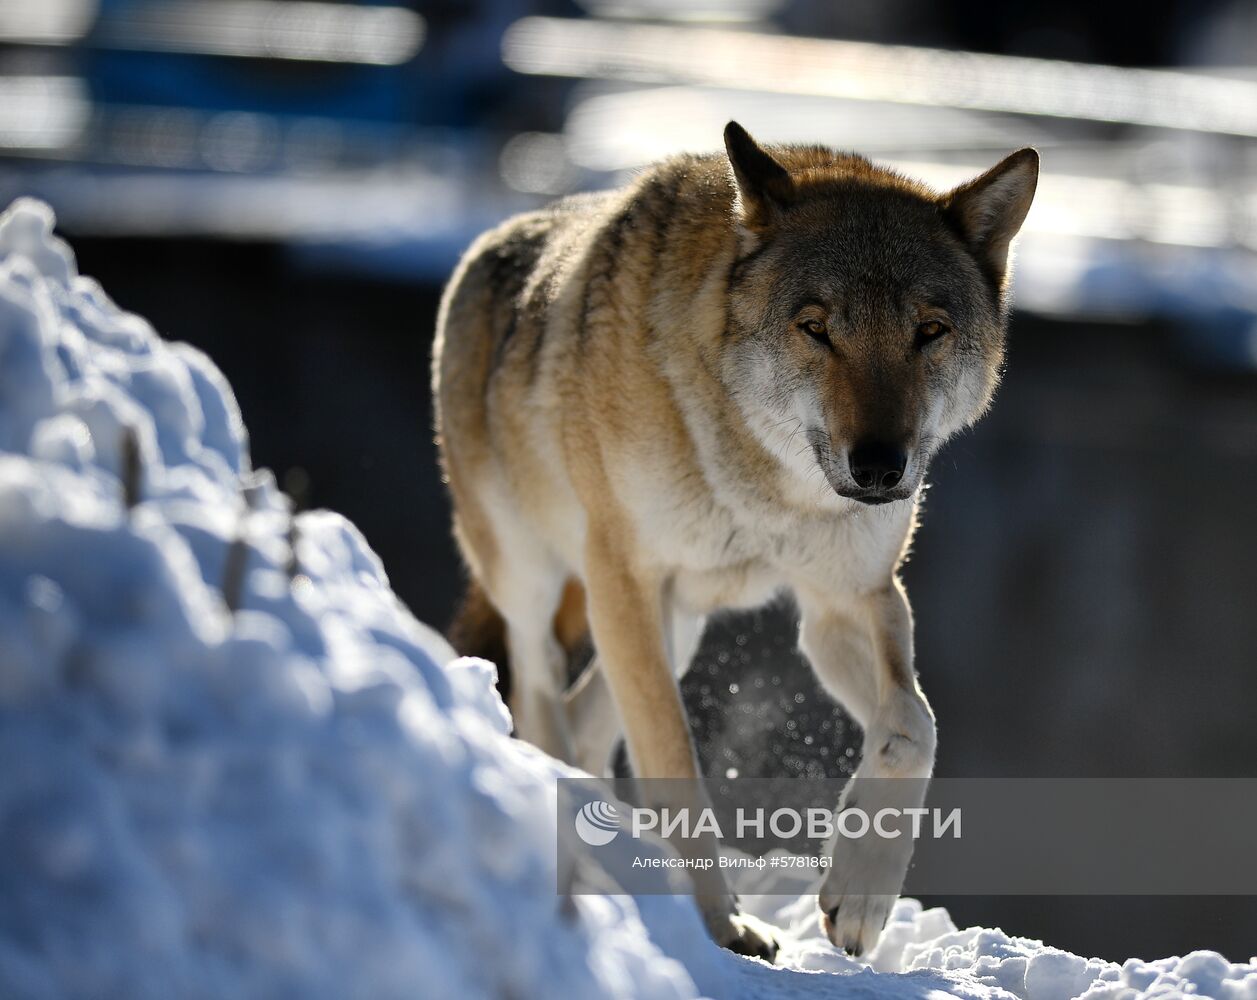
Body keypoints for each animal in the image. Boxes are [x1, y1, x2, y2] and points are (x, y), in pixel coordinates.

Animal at [432, 125, 1040, 959]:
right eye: (815, 328)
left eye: (928, 333)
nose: (880, 468)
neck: (765, 485)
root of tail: (487, 244)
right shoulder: (622, 576)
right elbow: (674, 761)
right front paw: (722, 926)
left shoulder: (846, 599)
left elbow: (913, 729)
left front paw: (858, 898)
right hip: (538, 580)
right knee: (537, 690)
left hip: (674, 625)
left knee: (585, 723)